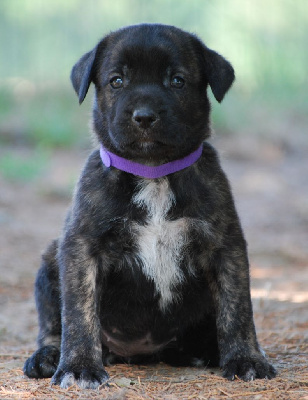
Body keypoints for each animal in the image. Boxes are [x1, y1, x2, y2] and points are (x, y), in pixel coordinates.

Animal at [22, 22, 276, 388]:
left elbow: (237, 309)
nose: (144, 116)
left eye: (177, 81)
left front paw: (246, 359)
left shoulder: (224, 247)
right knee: (51, 326)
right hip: (48, 261)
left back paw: (206, 351)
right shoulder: (82, 249)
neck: (153, 171)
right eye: (117, 81)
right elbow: (79, 313)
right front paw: (79, 366)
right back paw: (47, 357)